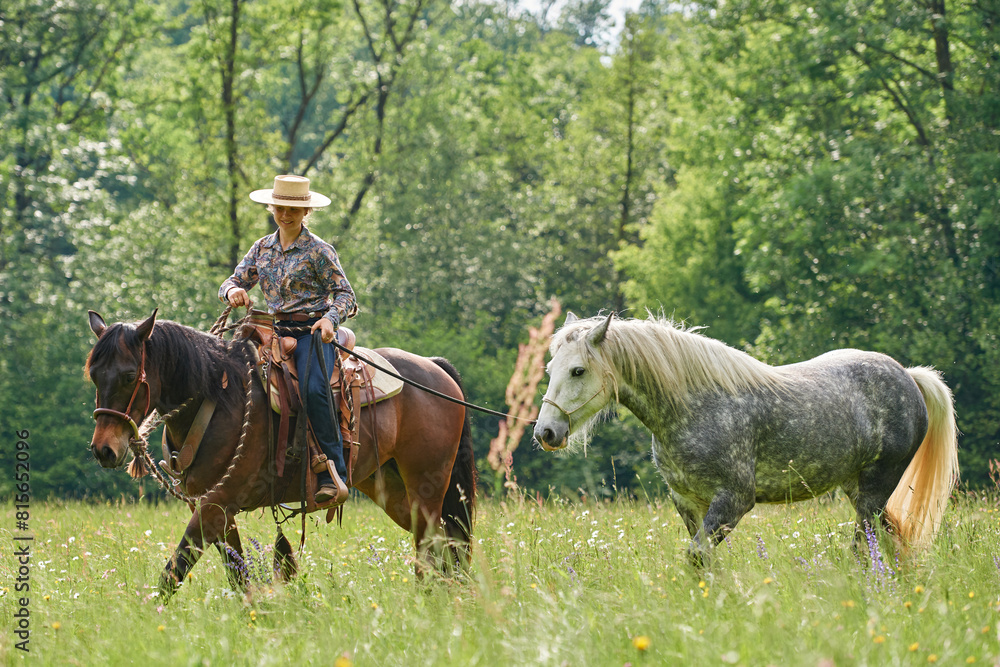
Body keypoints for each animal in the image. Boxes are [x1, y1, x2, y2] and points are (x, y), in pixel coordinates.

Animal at [85, 309, 477, 597]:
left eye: (129, 375)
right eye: (93, 375)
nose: (104, 450)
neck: (217, 396)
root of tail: (435, 369)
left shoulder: (214, 505)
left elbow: (174, 572)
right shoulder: (217, 509)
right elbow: (237, 575)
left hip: (426, 486)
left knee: (432, 546)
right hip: (392, 489)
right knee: (446, 545)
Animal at [533, 313, 959, 566]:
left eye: (578, 370)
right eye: (550, 368)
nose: (545, 432)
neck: (692, 407)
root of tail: (908, 375)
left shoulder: (734, 500)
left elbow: (697, 557)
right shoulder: (688, 502)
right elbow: (706, 562)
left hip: (874, 488)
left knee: (862, 546)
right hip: (860, 490)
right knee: (892, 537)